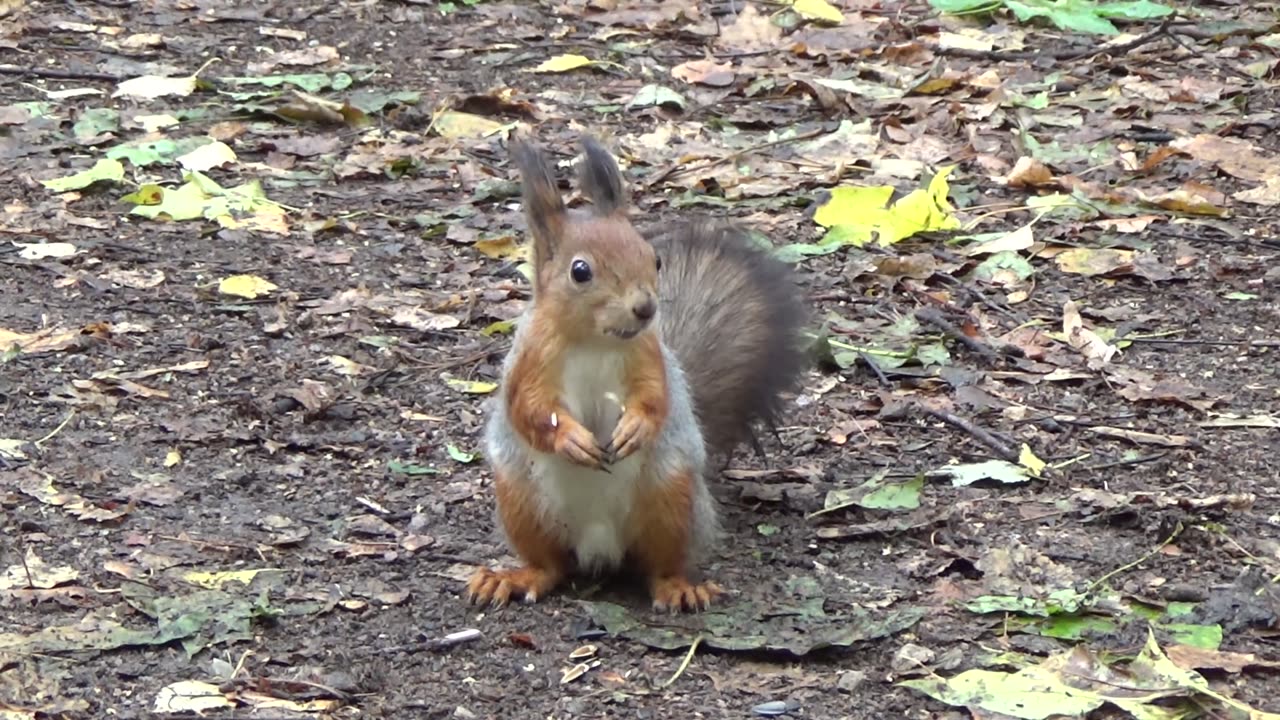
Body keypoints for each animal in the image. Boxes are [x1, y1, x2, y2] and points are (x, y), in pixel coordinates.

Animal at [465, 133, 803, 609]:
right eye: (580, 271)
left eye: (654, 259)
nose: (645, 308)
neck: (596, 340)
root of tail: (599, 549)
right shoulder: (529, 361)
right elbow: (529, 409)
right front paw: (571, 439)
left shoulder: (649, 356)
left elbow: (655, 398)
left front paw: (634, 428)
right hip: (521, 502)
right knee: (549, 566)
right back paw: (513, 578)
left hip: (671, 497)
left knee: (659, 566)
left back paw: (679, 588)